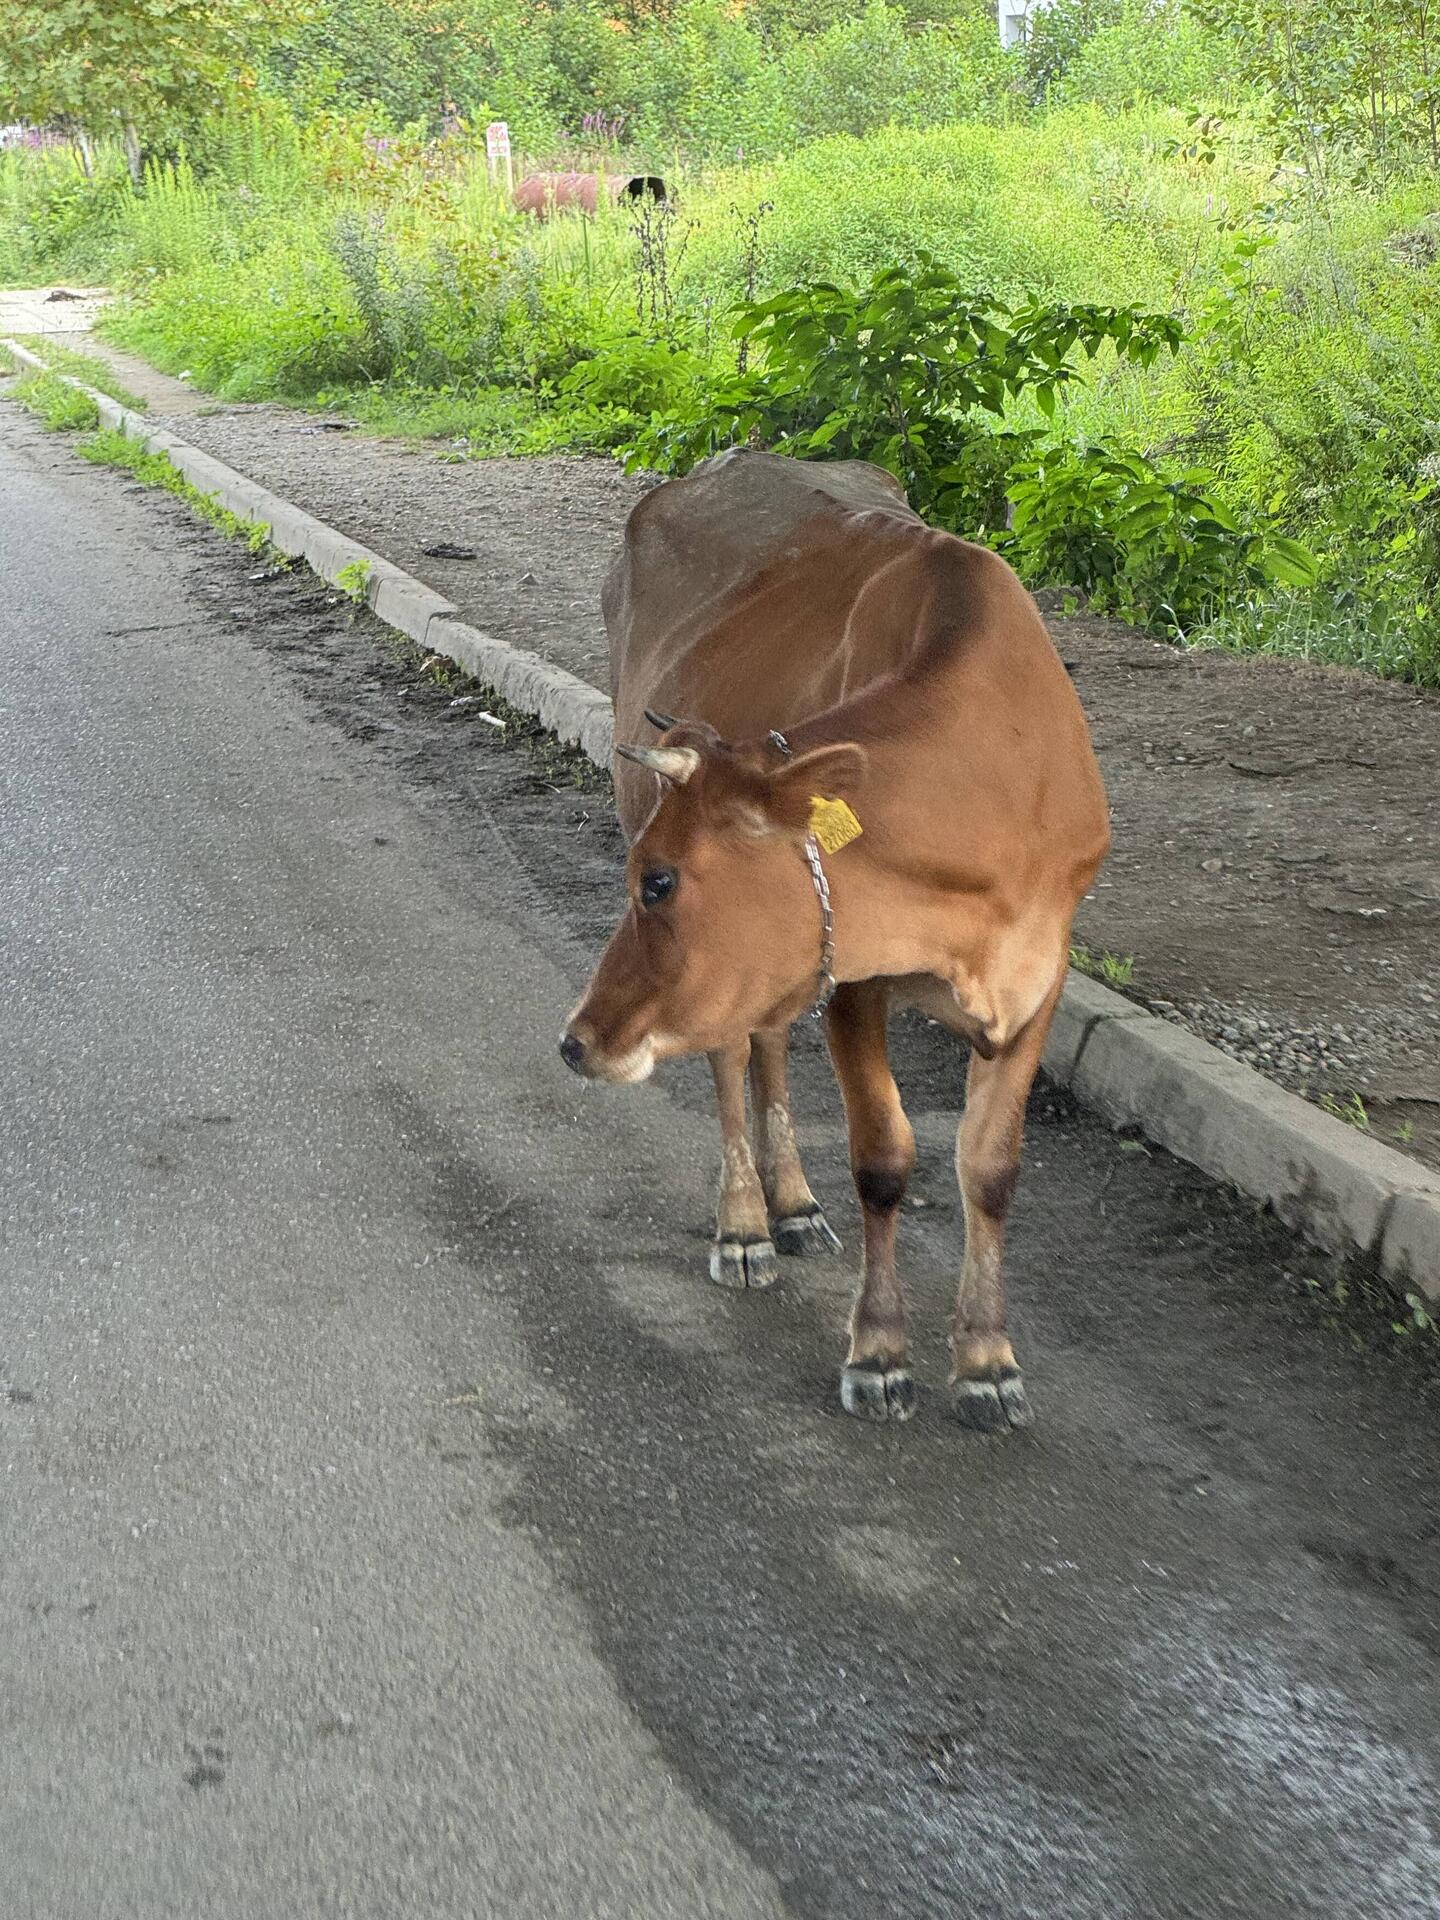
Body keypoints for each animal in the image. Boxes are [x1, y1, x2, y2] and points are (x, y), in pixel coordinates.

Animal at [560, 449, 1109, 1429]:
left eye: (658, 880)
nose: (576, 1040)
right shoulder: (857, 976)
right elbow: (884, 1159)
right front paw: (879, 1350)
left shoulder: (1039, 975)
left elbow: (991, 1168)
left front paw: (987, 1359)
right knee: (733, 1053)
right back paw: (746, 1222)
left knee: (768, 1038)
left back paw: (793, 1206)